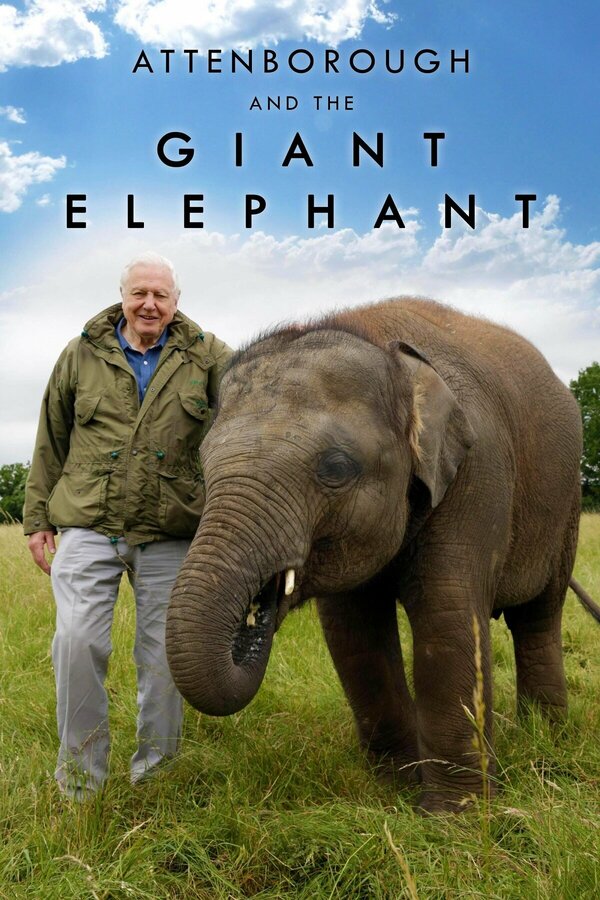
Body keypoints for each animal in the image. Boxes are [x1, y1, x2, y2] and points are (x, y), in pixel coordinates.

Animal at [166, 297, 589, 813]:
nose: (251, 619)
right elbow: (353, 630)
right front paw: (395, 790)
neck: (382, 345)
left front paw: (456, 815)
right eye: (204, 467)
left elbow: (447, 611)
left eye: (336, 468)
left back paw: (546, 738)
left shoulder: (479, 468)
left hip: (565, 506)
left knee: (539, 616)